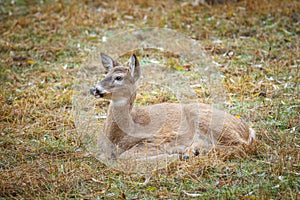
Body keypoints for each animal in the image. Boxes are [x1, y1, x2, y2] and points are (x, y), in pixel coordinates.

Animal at [89, 52, 255, 161]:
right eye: (106, 74)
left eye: (118, 77)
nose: (94, 89)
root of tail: (247, 129)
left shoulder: (157, 139)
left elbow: (125, 156)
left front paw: (172, 155)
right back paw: (192, 150)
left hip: (209, 120)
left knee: (241, 145)